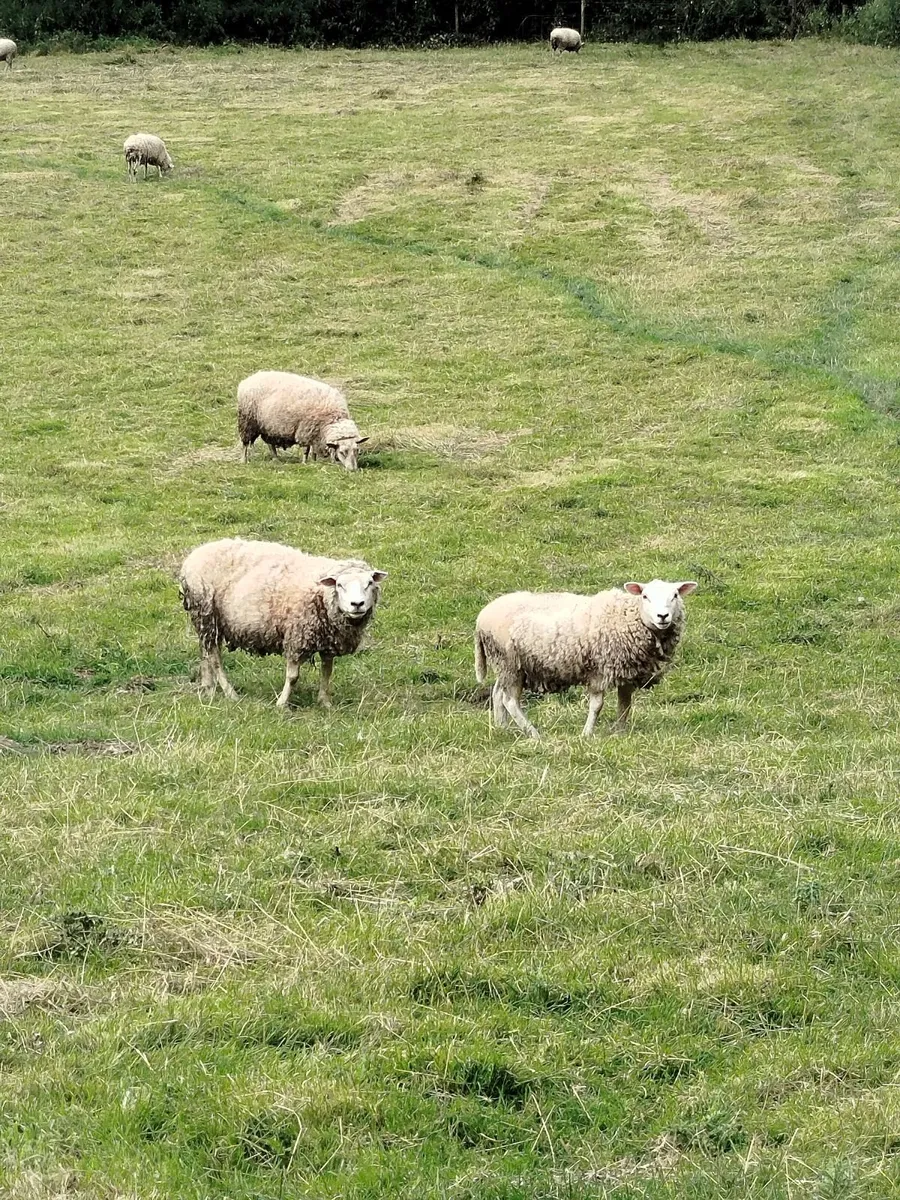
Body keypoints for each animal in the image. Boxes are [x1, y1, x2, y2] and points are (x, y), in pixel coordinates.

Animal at [179, 537, 387, 709]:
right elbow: (293, 677)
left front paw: (325, 702)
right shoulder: (296, 638)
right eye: (340, 585)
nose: (357, 604)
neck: (320, 594)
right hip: (206, 614)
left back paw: (208, 688)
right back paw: (230, 693)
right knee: (214, 658)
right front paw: (282, 704)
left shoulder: (328, 640)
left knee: (205, 652)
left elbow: (327, 672)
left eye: (369, 583)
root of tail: (193, 556)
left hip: (207, 622)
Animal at [237, 371, 368, 471]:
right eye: (342, 452)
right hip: (247, 421)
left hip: (269, 426)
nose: (353, 470)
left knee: (270, 444)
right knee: (245, 443)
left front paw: (314, 460)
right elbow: (306, 449)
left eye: (357, 451)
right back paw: (244, 460)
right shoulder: (306, 430)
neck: (332, 418)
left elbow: (313, 449)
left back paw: (276, 459)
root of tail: (248, 379)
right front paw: (305, 462)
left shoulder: (316, 433)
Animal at [474, 579, 697, 738]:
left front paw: (620, 733)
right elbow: (597, 706)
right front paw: (587, 734)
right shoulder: (599, 670)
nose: (663, 616)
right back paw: (533, 733)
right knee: (510, 700)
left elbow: (625, 704)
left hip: (508, 665)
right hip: (509, 662)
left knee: (497, 693)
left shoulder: (627, 671)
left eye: (675, 595)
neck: (628, 617)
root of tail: (481, 617)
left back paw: (502, 728)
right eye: (645, 596)